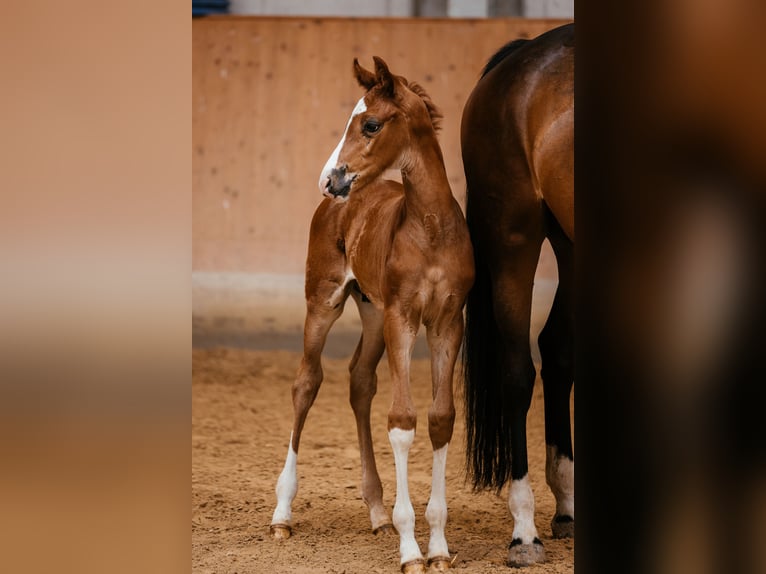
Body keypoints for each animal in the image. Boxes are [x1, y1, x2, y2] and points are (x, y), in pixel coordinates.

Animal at [270, 55, 474, 574]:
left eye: (371, 124)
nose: (329, 179)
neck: (430, 229)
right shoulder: (404, 317)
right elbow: (402, 421)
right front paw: (410, 550)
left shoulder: (447, 322)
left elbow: (441, 418)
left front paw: (437, 547)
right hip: (324, 301)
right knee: (307, 383)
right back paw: (282, 514)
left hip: (372, 313)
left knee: (360, 380)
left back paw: (378, 510)